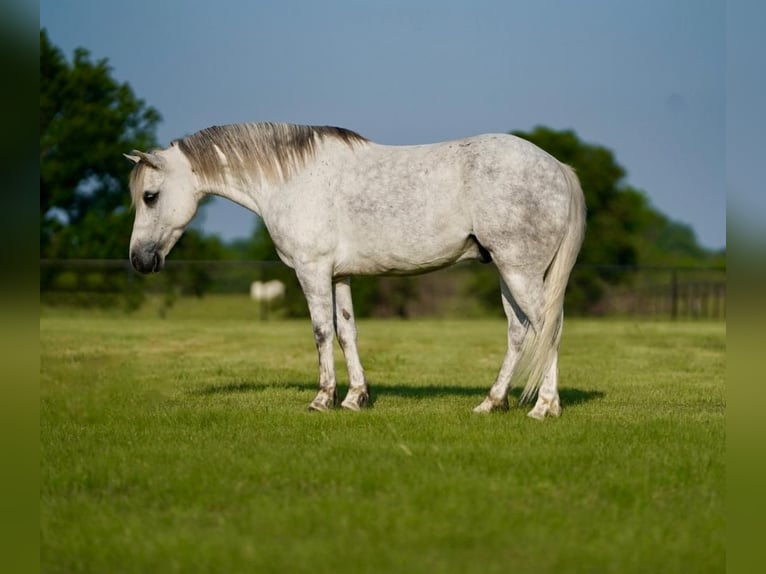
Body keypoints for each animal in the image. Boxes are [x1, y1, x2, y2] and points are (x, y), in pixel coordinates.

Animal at [124, 122, 588, 418]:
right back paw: (491, 403)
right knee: (519, 332)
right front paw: (355, 398)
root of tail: (557, 168)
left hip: (519, 271)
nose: (139, 260)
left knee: (547, 327)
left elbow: (321, 332)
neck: (293, 179)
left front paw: (322, 399)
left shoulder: (312, 271)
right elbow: (347, 331)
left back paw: (545, 407)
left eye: (150, 196)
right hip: (507, 273)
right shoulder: (339, 275)